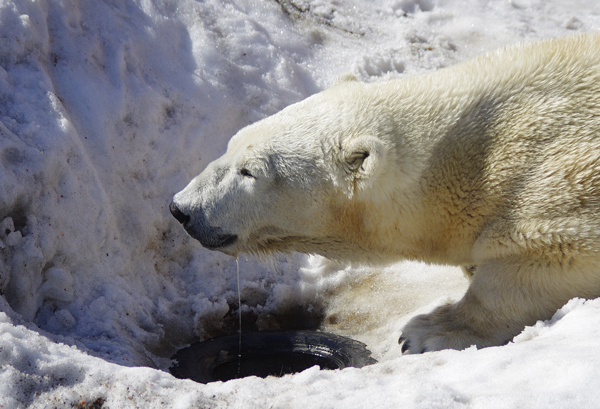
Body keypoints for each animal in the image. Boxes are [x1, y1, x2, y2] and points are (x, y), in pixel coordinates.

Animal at [169, 35, 600, 352]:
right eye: (230, 144)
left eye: (250, 171)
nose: (182, 209)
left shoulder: (557, 181)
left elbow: (537, 262)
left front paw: (428, 331)